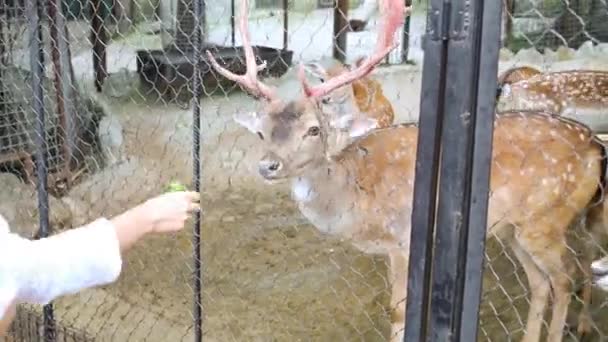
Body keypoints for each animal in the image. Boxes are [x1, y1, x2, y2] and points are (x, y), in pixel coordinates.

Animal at [208, 0, 608, 340]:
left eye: (314, 129)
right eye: (262, 130)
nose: (268, 164)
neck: (356, 193)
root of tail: (595, 146)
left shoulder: (404, 237)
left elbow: (398, 311)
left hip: (547, 218)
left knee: (565, 279)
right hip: (514, 228)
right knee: (541, 284)